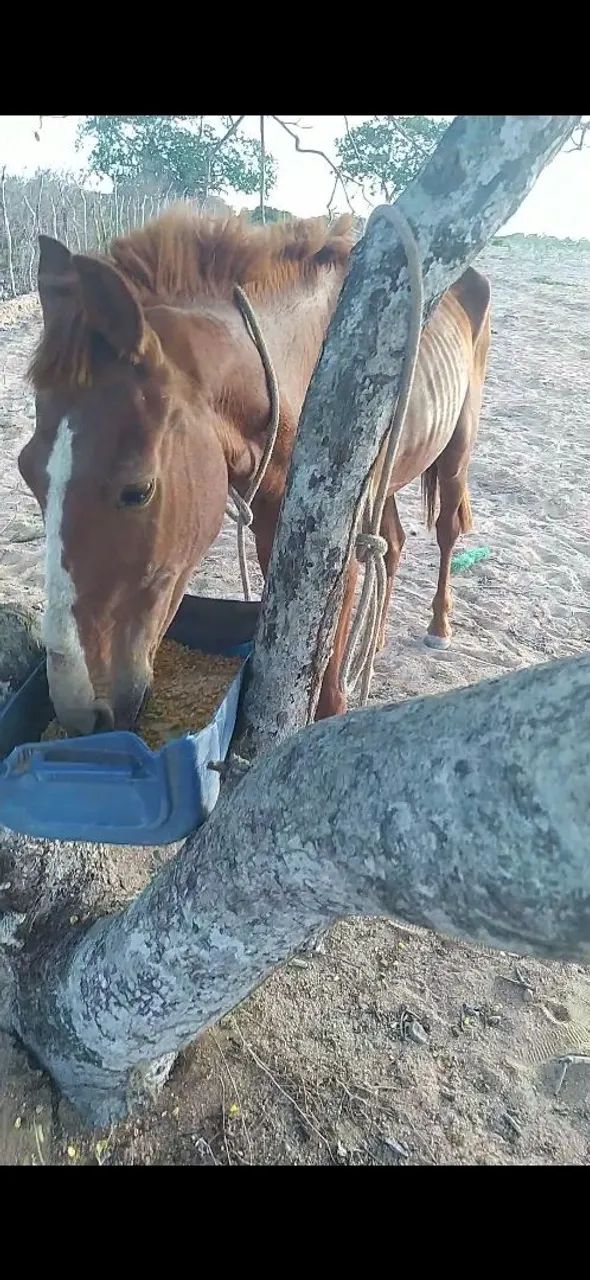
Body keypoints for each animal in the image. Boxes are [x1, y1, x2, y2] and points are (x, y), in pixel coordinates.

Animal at [19, 210, 491, 736]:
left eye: (137, 490)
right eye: (26, 472)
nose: (80, 712)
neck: (299, 371)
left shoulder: (333, 548)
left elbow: (328, 695)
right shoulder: (278, 526)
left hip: (457, 450)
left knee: (446, 529)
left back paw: (439, 626)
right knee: (393, 544)